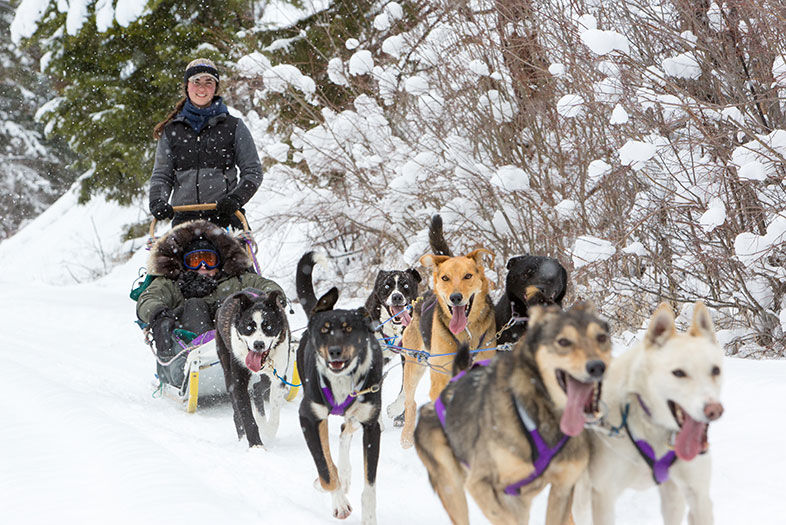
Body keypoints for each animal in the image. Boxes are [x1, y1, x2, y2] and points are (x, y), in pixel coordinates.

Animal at [216, 286, 292, 446]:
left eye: (268, 326)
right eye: (248, 326)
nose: (258, 344)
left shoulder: (279, 378)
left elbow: (274, 415)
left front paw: (267, 432)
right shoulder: (239, 380)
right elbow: (246, 415)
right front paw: (256, 445)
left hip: (269, 375)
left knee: (258, 388)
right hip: (227, 368)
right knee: (236, 410)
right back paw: (242, 435)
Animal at [294, 252, 382, 520]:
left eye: (348, 329)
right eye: (325, 330)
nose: (334, 351)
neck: (343, 380)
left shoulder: (372, 426)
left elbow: (370, 488)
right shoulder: (308, 417)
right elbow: (325, 470)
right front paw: (339, 501)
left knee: (345, 429)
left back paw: (345, 472)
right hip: (318, 415)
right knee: (329, 450)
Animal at [414, 302, 608, 524]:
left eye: (602, 338)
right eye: (563, 342)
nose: (597, 366)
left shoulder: (563, 487)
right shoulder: (481, 484)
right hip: (452, 485)